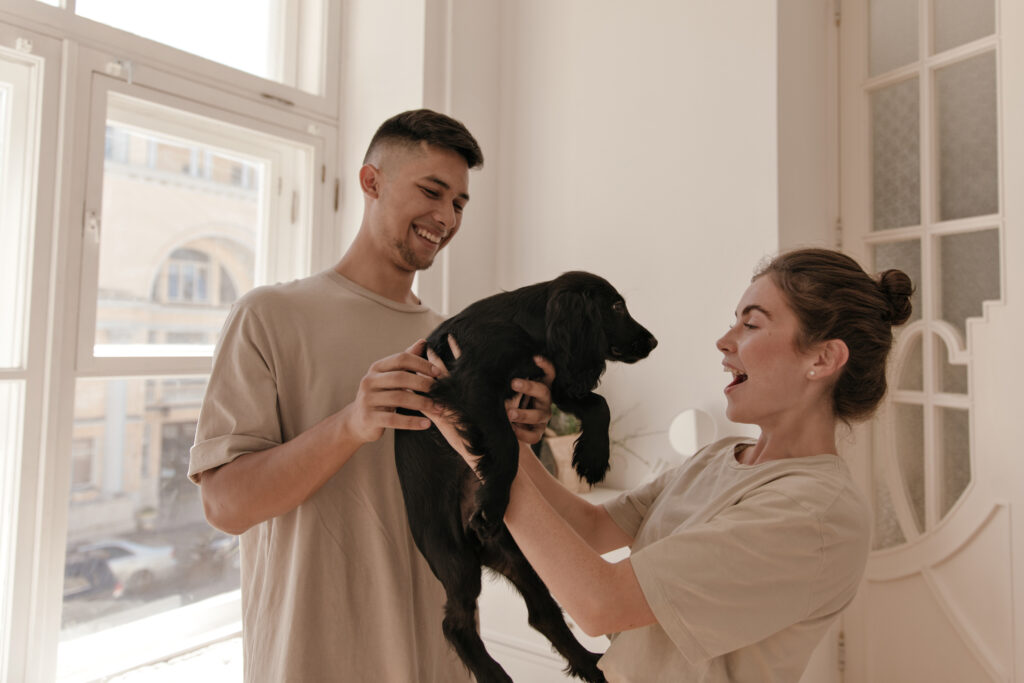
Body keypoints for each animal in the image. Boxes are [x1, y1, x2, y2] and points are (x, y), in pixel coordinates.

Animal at [391, 272, 655, 683]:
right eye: (616, 306)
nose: (653, 341)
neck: (527, 330)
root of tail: (483, 549)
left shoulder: (553, 379)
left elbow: (599, 404)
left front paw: (593, 459)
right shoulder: (474, 382)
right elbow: (507, 444)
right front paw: (494, 500)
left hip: (521, 558)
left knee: (542, 614)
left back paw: (589, 664)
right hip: (453, 557)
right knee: (456, 622)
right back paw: (494, 674)